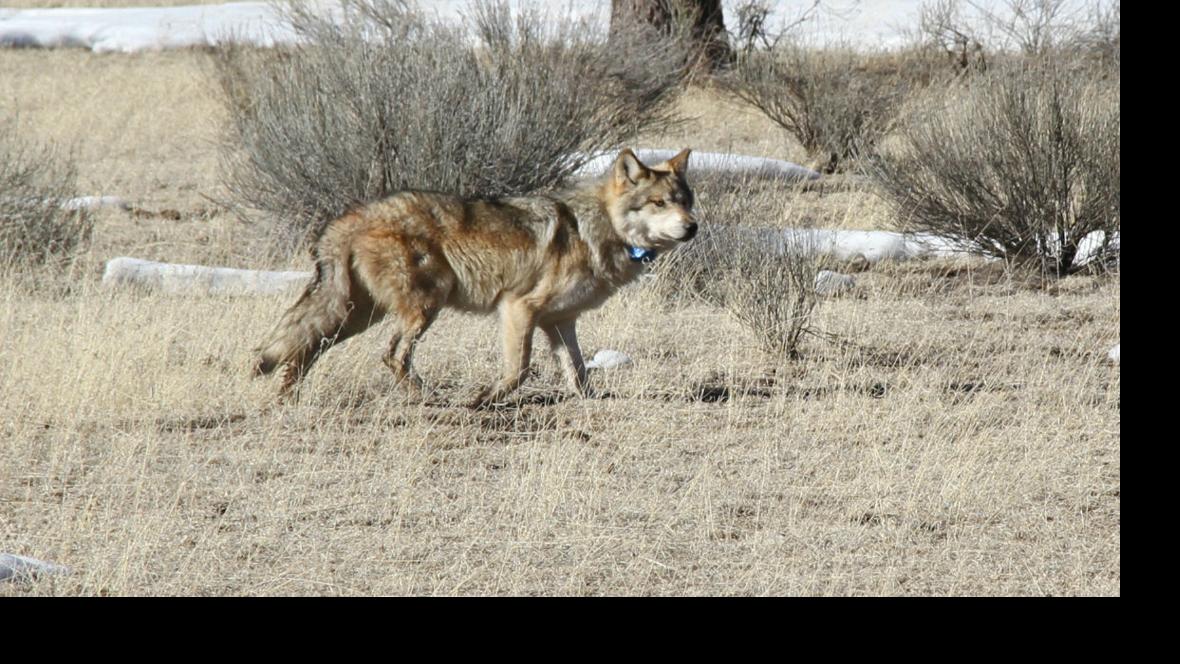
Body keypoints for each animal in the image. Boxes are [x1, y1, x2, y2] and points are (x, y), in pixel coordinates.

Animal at [252, 148, 696, 408]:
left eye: (686, 202)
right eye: (658, 203)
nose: (693, 227)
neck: (600, 229)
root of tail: (351, 216)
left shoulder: (560, 321)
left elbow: (578, 372)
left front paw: (590, 404)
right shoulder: (518, 308)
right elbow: (519, 371)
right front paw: (483, 400)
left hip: (357, 314)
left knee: (306, 347)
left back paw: (286, 398)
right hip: (421, 309)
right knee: (392, 355)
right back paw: (430, 400)